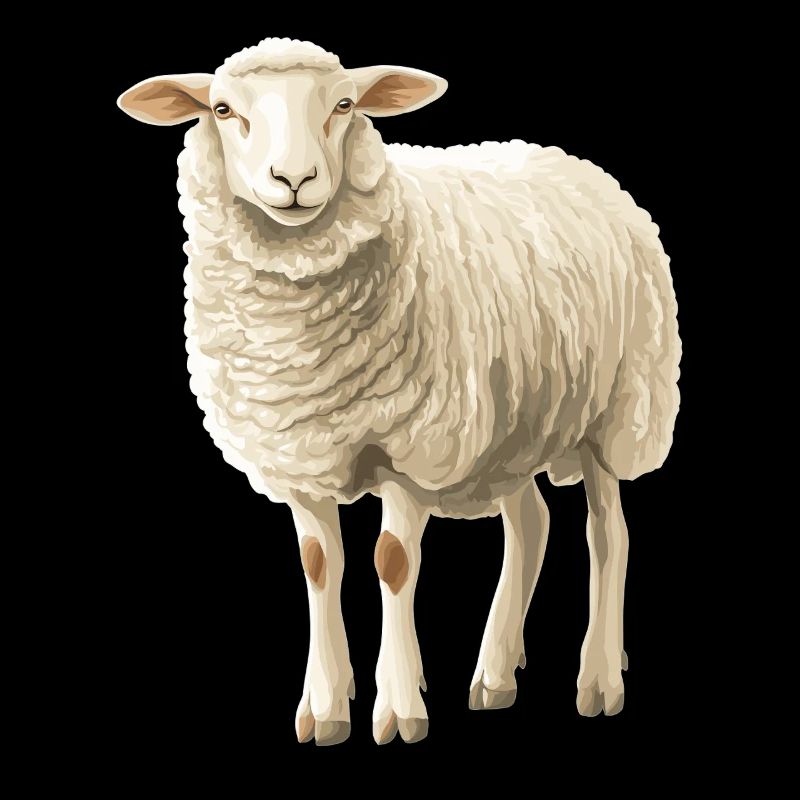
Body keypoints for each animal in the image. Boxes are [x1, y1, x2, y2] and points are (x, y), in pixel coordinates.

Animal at [118, 36, 681, 746]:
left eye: (344, 105)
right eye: (222, 109)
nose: (294, 180)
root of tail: (571, 162)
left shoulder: (415, 447)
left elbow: (392, 562)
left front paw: (397, 709)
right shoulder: (298, 454)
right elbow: (317, 564)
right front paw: (325, 709)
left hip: (618, 407)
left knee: (607, 533)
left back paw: (599, 679)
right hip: (510, 422)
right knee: (531, 524)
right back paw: (495, 675)